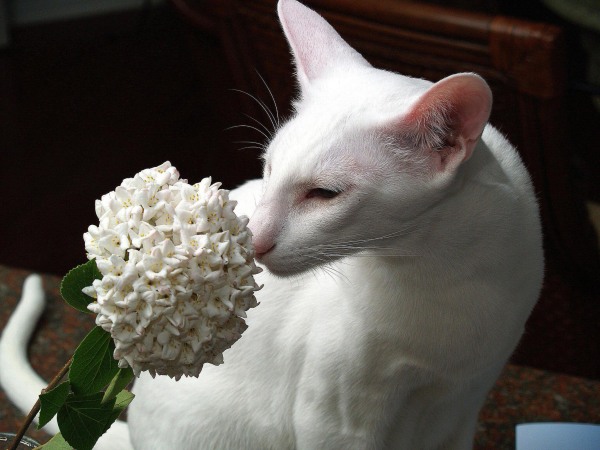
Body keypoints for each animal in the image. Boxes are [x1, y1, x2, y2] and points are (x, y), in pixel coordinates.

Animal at [0, 0, 544, 450]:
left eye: (324, 194)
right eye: (268, 168)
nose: (254, 242)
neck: (440, 275)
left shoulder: (462, 406)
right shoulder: (336, 422)